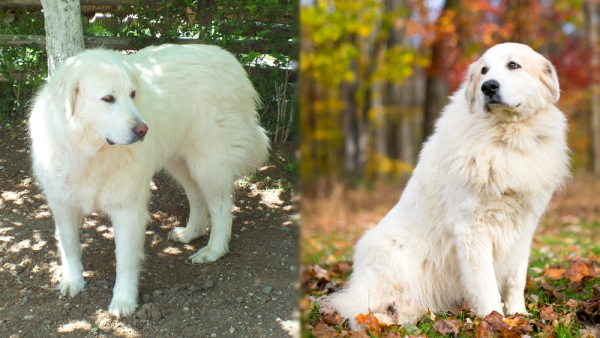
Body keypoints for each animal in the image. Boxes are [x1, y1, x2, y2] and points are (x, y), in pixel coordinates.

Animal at [29, 43, 268, 316]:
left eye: (133, 94)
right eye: (108, 98)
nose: (143, 130)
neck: (91, 152)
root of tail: (230, 61)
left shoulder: (127, 209)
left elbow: (124, 259)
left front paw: (123, 301)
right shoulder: (62, 203)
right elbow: (69, 244)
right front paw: (73, 281)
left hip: (208, 165)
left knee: (222, 210)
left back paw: (213, 250)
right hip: (182, 164)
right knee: (197, 198)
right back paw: (190, 233)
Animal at [324, 43, 572, 330]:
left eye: (513, 65)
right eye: (484, 70)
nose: (488, 86)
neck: (506, 137)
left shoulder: (523, 226)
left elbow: (516, 278)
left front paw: (517, 314)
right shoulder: (472, 227)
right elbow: (484, 282)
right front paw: (494, 319)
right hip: (394, 257)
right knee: (358, 309)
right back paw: (385, 320)